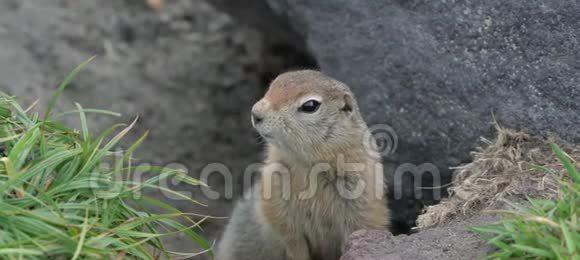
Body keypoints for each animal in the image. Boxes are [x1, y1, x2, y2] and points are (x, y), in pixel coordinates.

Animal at [215, 70, 388, 258]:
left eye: (310, 105)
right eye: (273, 84)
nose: (256, 113)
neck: (309, 165)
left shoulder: (362, 204)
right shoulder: (275, 199)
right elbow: (293, 241)